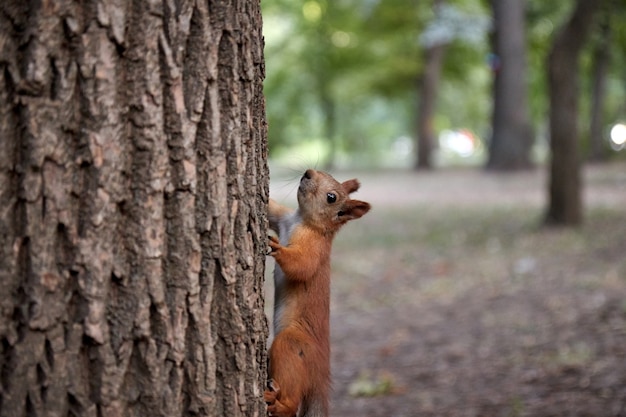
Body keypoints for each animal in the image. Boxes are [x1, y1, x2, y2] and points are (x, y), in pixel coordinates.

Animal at [264, 169, 370, 416]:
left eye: (331, 197)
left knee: (292, 402)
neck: (302, 220)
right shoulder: (282, 218)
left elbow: (302, 265)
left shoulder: (315, 249)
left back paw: (278, 404)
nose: (308, 172)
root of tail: (321, 374)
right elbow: (271, 208)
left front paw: (277, 248)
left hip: (293, 346)